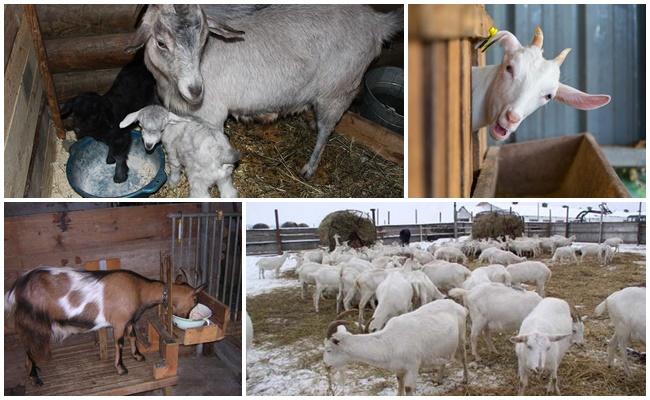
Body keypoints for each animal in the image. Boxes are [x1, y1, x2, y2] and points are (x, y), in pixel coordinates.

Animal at [3, 268, 204, 386]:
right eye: (195, 299)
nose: (187, 317)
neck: (139, 290)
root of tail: (16, 288)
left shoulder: (129, 320)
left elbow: (133, 336)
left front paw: (138, 356)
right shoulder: (119, 322)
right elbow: (119, 343)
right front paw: (121, 368)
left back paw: (33, 371)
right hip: (33, 321)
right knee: (29, 346)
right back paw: (35, 377)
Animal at [61, 50, 157, 183]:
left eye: (93, 116)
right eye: (75, 113)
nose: (77, 129)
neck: (102, 127)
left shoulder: (121, 137)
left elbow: (119, 156)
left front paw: (120, 176)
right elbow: (112, 149)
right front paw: (109, 159)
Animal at [126, 4, 400, 179]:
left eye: (204, 39)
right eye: (161, 43)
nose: (195, 90)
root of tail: (377, 23)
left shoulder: (212, 115)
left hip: (338, 90)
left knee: (326, 130)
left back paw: (309, 168)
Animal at [322, 298, 466, 396]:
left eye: (329, 349)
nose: (326, 366)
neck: (389, 342)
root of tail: (458, 306)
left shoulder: (413, 366)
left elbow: (408, 389)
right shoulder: (399, 369)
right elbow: (399, 384)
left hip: (461, 337)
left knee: (463, 356)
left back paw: (465, 379)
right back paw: (438, 380)